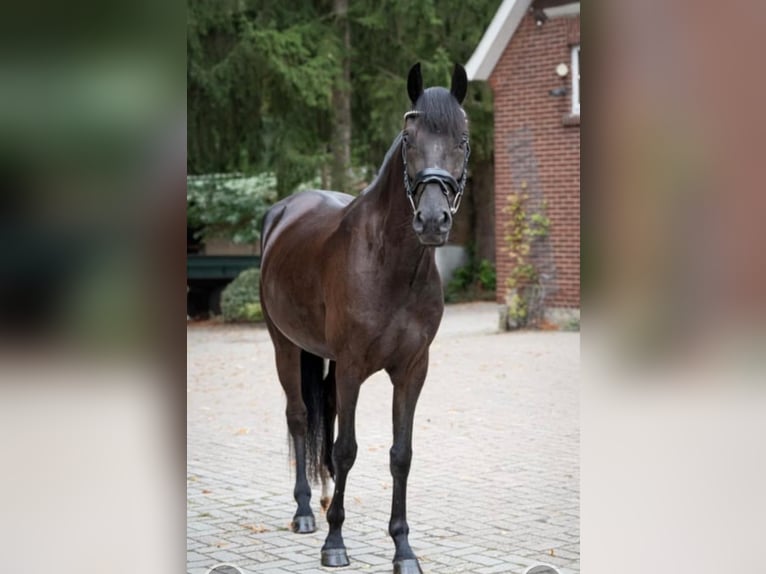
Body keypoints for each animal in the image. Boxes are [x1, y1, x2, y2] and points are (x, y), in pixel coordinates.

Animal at [259, 62, 470, 574]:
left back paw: (324, 499)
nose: (432, 221)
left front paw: (403, 549)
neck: (389, 264)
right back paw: (305, 511)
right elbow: (347, 448)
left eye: (462, 139)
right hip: (284, 345)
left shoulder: (413, 369)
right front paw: (335, 542)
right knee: (300, 417)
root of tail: (284, 210)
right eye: (408, 138)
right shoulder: (353, 365)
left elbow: (400, 455)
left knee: (326, 413)